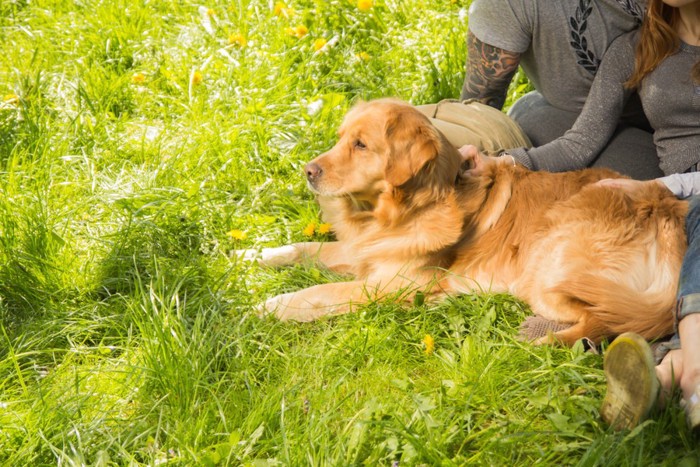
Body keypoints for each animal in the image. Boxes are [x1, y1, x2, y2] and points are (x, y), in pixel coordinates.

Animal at [241, 98, 688, 346]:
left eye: (361, 145)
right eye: (339, 138)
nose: (308, 171)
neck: (410, 209)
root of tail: (666, 209)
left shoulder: (393, 283)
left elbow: (319, 292)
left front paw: (271, 305)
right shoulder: (366, 251)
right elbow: (307, 247)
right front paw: (255, 255)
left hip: (551, 271)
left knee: (604, 322)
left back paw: (541, 342)